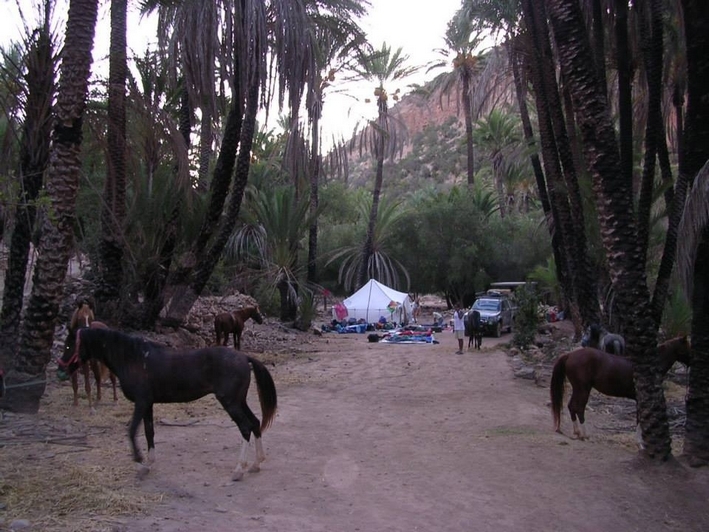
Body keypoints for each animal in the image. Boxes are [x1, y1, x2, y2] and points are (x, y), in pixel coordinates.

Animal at [56, 326, 276, 480]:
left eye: (68, 346)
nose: (60, 371)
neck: (134, 358)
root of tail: (244, 357)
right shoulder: (148, 405)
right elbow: (148, 431)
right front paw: (148, 464)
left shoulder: (141, 403)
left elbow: (132, 431)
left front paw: (139, 461)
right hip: (239, 401)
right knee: (255, 423)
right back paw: (256, 464)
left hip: (231, 403)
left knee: (245, 428)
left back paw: (239, 469)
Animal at [552, 336, 688, 440]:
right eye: (688, 347)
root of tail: (570, 355)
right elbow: (639, 419)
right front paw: (640, 442)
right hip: (583, 389)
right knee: (579, 408)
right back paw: (585, 434)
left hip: (578, 389)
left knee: (571, 406)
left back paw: (577, 432)